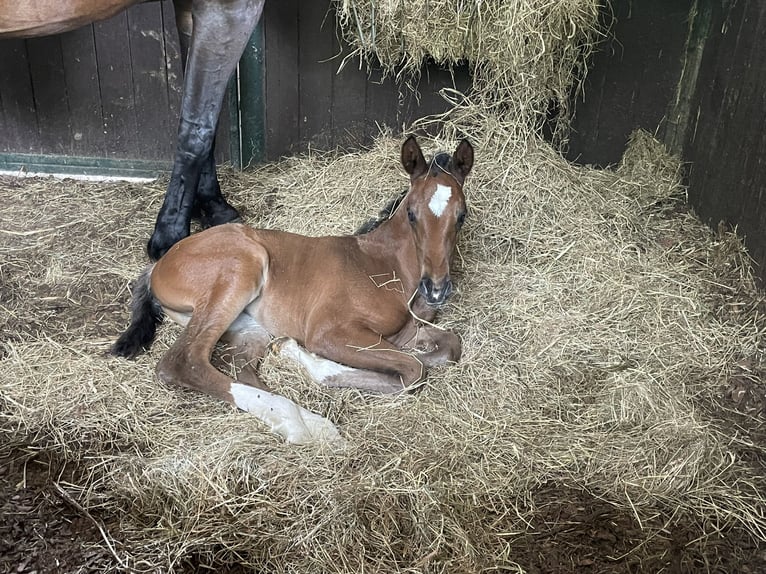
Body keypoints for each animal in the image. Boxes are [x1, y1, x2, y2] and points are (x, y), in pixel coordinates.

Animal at [111, 136, 474, 444]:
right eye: (412, 213)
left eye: (462, 215)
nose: (436, 289)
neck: (384, 266)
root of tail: (159, 264)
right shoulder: (329, 331)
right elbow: (413, 368)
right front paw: (312, 363)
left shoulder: (410, 329)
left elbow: (448, 347)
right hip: (243, 269)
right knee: (184, 361)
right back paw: (307, 425)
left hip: (249, 327)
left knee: (238, 368)